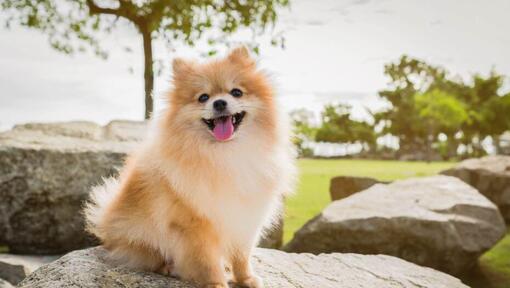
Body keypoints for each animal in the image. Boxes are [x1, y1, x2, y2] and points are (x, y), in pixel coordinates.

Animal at [83, 47, 296, 288]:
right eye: (203, 97)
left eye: (236, 92)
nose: (219, 103)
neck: (225, 154)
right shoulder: (194, 224)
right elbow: (206, 260)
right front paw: (216, 283)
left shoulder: (244, 216)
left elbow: (242, 254)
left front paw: (246, 278)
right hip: (140, 235)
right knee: (149, 257)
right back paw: (169, 268)